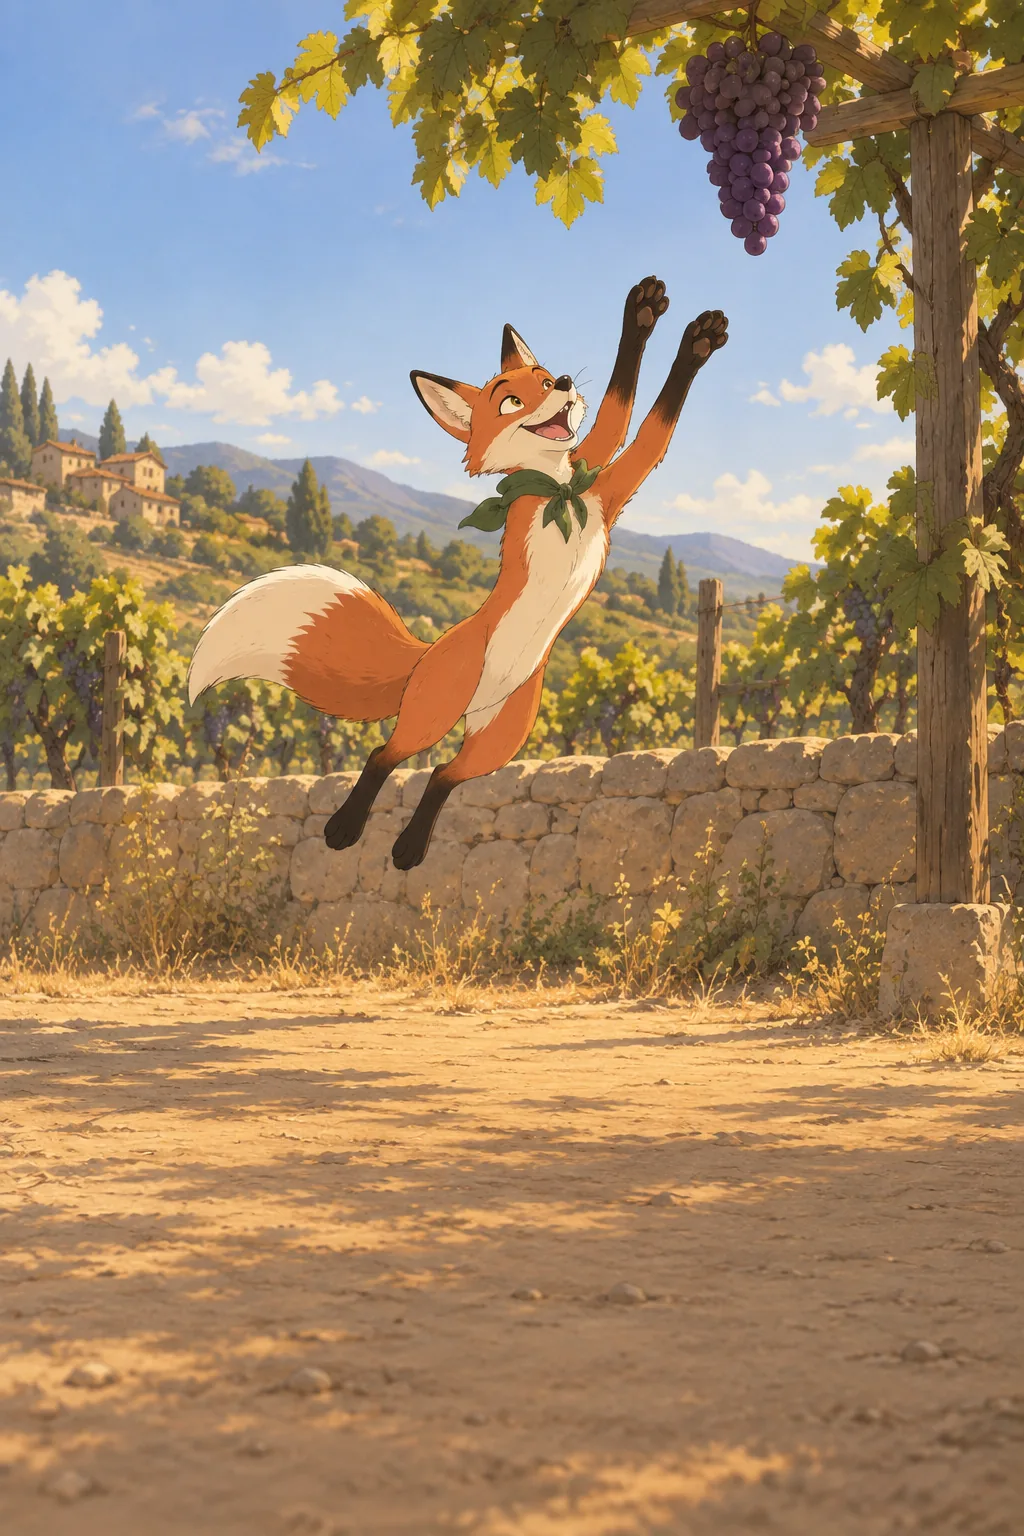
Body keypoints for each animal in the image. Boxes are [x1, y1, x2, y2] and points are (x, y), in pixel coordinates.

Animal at [187, 278, 728, 870]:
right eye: (512, 399)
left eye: (546, 380)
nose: (564, 382)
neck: (561, 491)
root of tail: (429, 653)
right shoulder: (593, 479)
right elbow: (628, 417)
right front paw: (654, 321)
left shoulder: (606, 486)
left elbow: (635, 423)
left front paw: (683, 335)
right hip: (434, 713)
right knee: (383, 753)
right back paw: (345, 829)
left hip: (501, 738)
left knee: (444, 774)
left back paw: (409, 849)